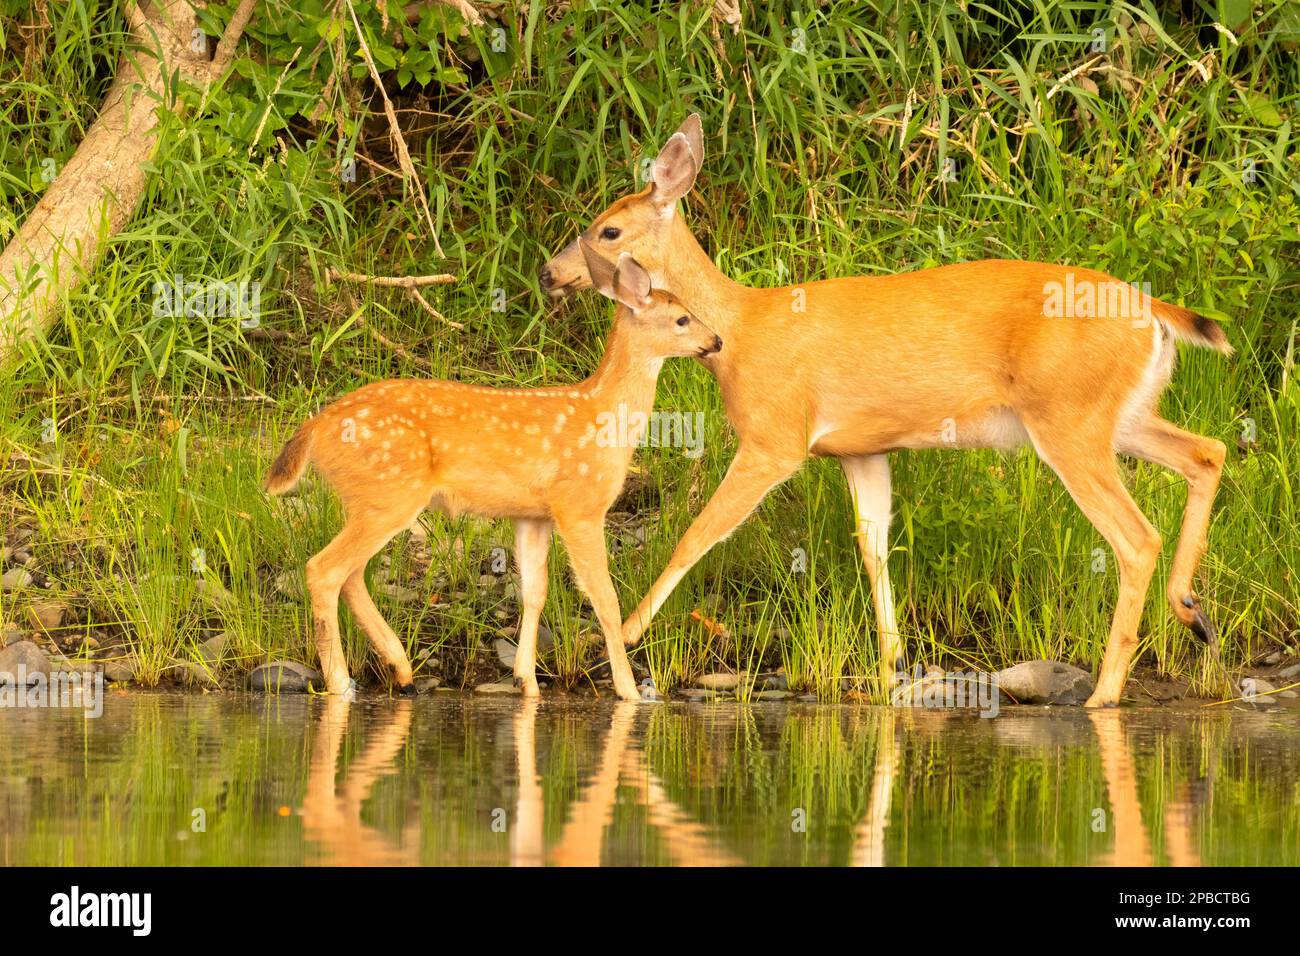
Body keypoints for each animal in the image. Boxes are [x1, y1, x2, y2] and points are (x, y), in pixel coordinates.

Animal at [265, 241, 723, 702]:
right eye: (682, 318)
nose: (717, 340)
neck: (604, 415)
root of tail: (314, 428)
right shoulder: (579, 503)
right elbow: (605, 598)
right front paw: (629, 691)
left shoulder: (533, 514)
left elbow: (534, 593)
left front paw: (527, 682)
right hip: (389, 493)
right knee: (324, 569)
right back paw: (342, 682)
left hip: (371, 500)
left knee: (352, 574)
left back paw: (401, 669)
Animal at [538, 114, 1231, 708]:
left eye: (607, 230)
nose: (548, 274)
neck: (740, 330)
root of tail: (1154, 313)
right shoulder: (862, 450)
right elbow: (874, 547)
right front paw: (892, 664)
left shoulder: (775, 436)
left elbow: (700, 531)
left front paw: (625, 631)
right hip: (1121, 415)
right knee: (1208, 451)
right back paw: (1192, 613)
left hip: (1069, 417)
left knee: (1137, 536)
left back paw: (1106, 692)